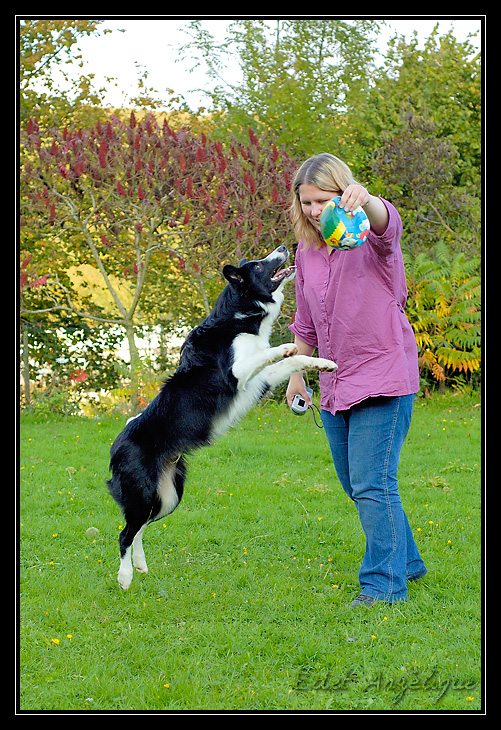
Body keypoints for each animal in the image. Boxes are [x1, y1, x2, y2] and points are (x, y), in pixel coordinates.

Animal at [108, 247, 336, 588]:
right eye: (258, 266)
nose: (284, 249)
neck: (240, 314)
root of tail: (117, 443)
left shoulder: (259, 381)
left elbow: (293, 361)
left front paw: (324, 363)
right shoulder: (237, 373)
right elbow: (273, 353)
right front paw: (285, 346)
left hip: (168, 494)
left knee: (138, 529)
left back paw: (140, 565)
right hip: (144, 491)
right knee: (125, 533)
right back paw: (125, 577)